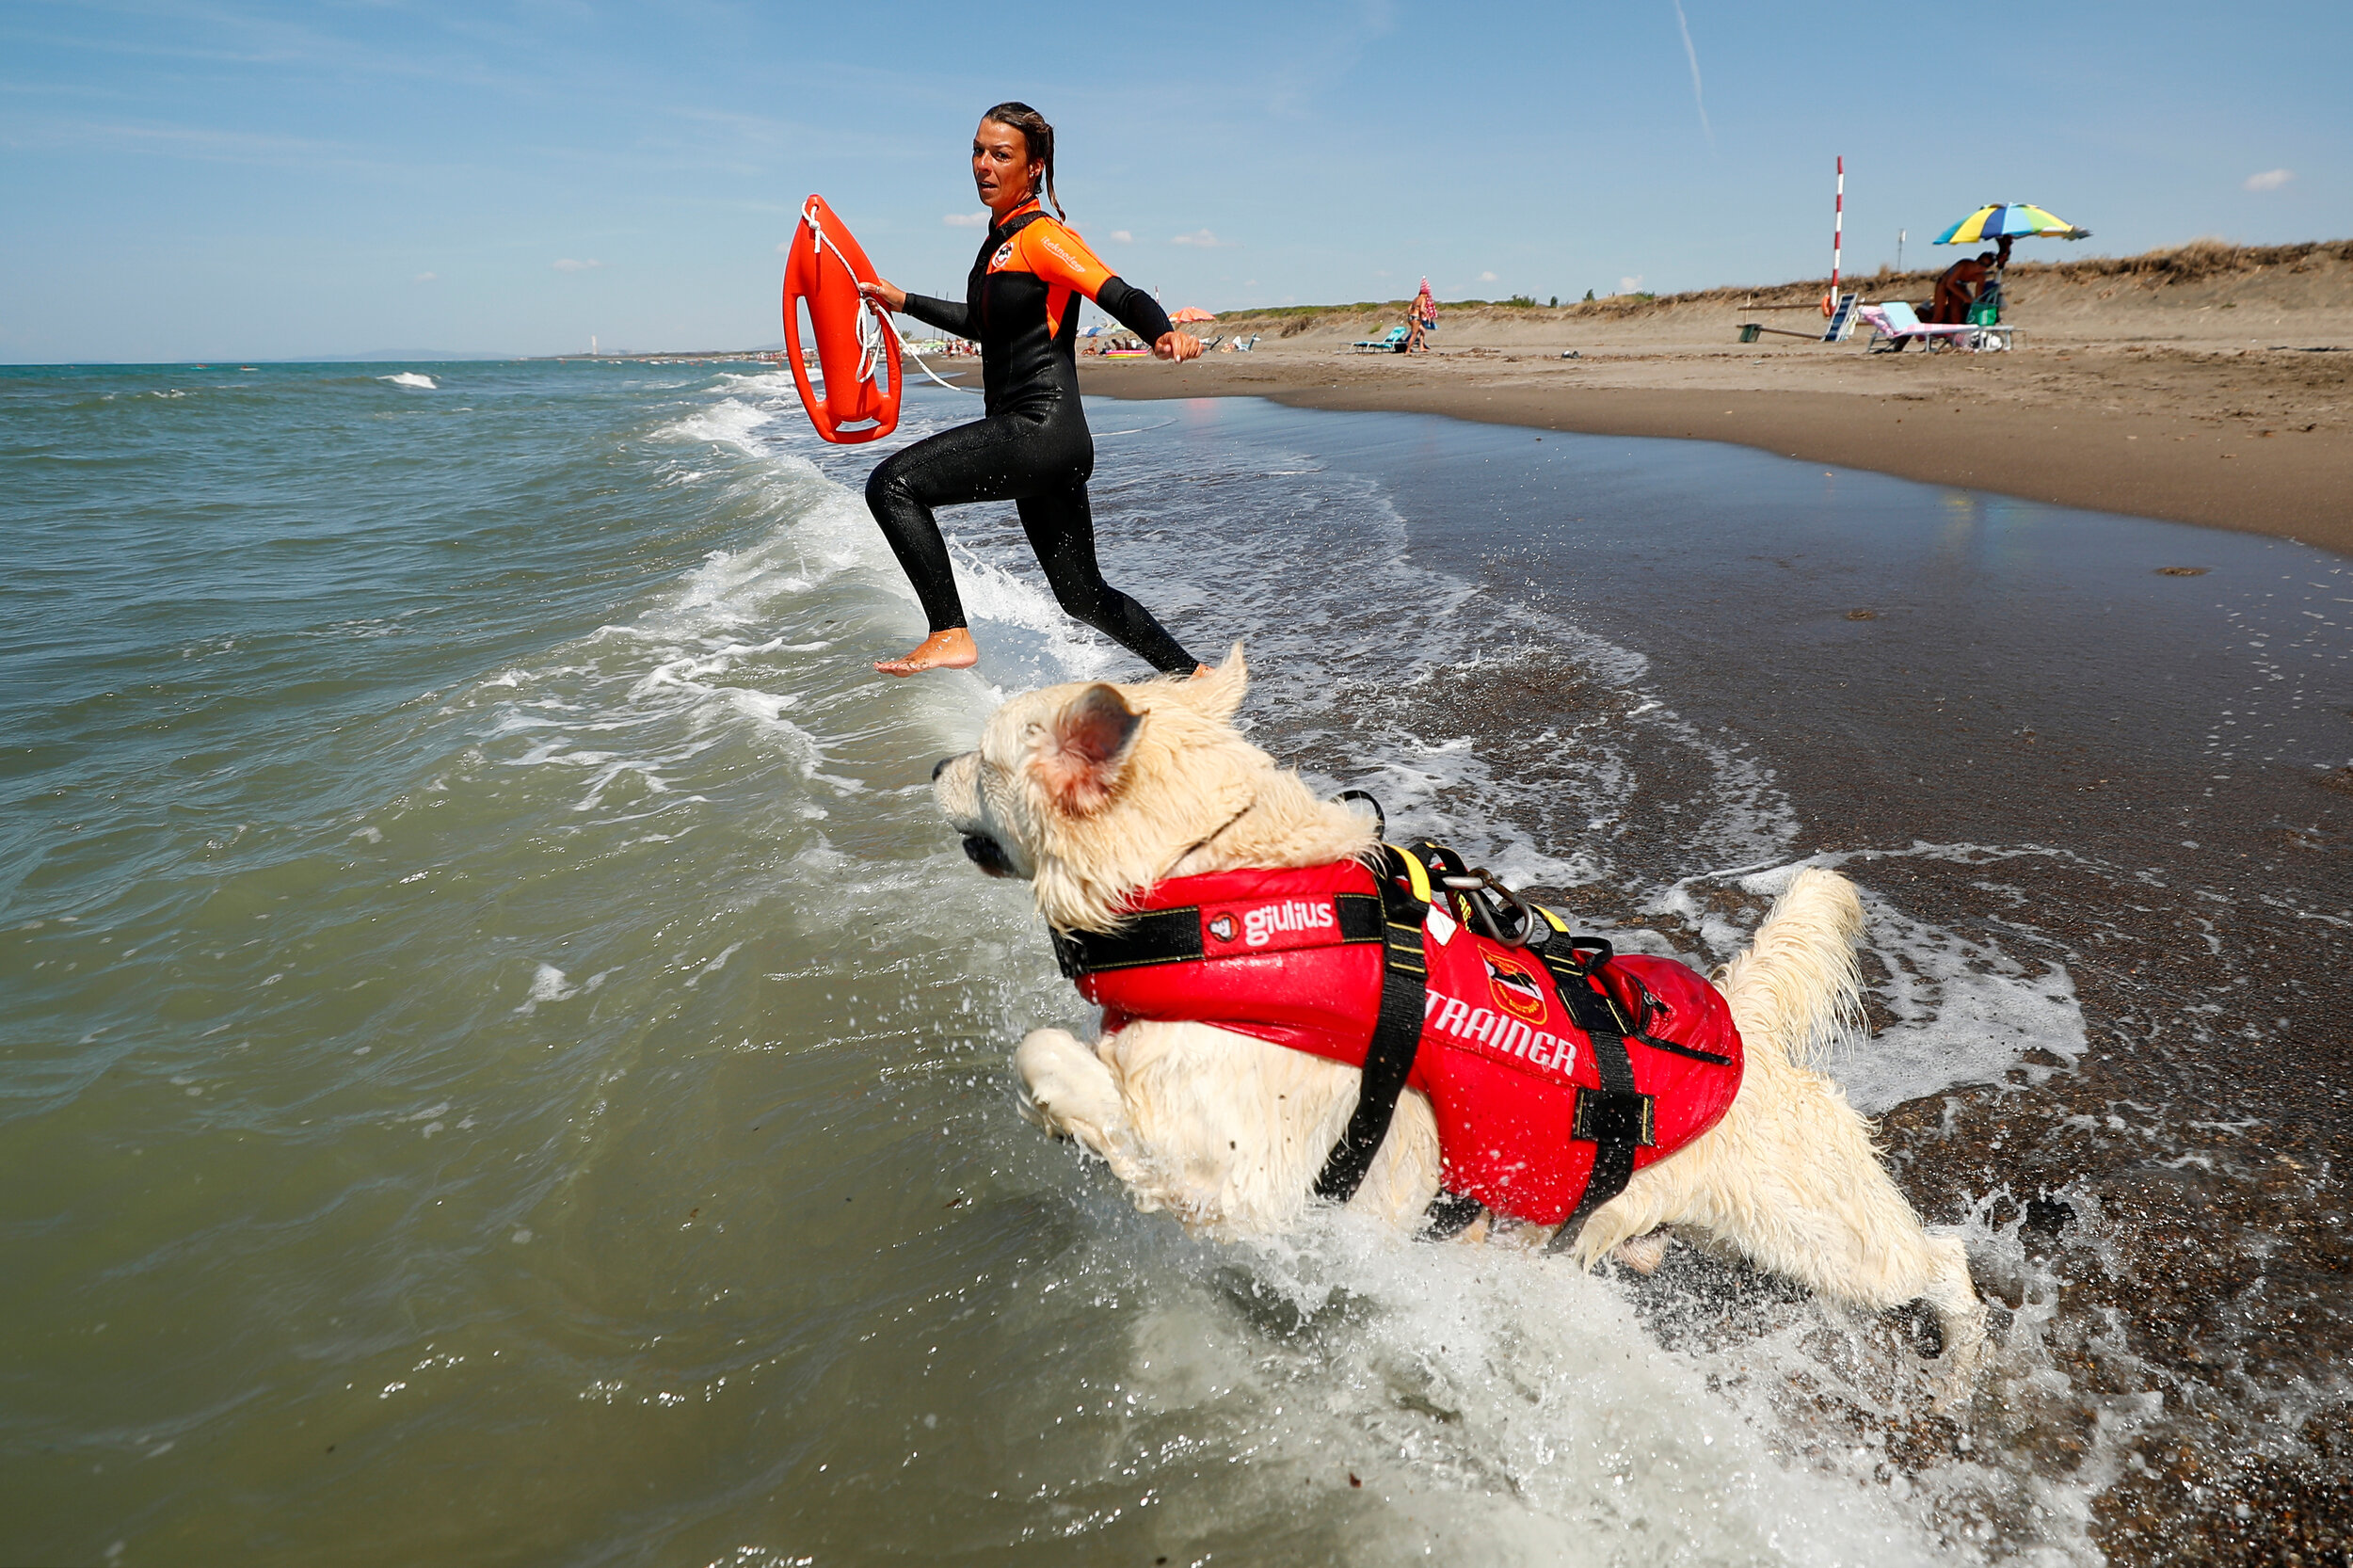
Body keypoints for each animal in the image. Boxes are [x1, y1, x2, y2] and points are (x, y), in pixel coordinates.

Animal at [936, 645, 1986, 1365]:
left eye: (979, 760)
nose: (928, 768)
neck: (1207, 890)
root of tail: (1743, 1026)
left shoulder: (1248, 1177)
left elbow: (1045, 1054)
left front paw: (1064, 1115)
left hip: (1825, 1233)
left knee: (1939, 1260)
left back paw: (1959, 1370)